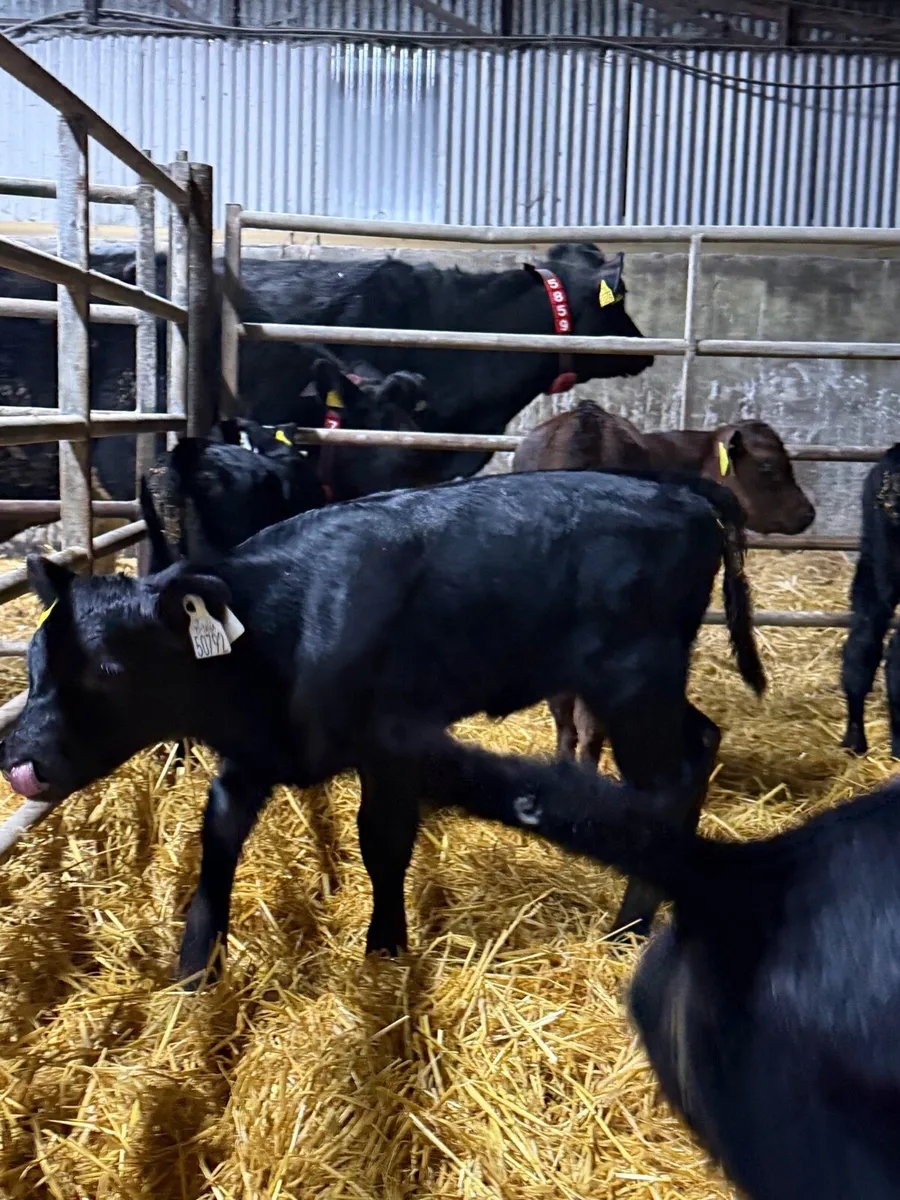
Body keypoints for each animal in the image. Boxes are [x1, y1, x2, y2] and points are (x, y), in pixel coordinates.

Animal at [0, 469, 763, 984]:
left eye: (109, 669)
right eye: (33, 661)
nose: (19, 761)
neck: (280, 630)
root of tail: (684, 496)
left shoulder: (389, 744)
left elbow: (383, 844)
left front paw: (386, 952)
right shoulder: (251, 753)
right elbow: (216, 842)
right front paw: (193, 973)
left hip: (634, 682)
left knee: (670, 779)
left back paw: (628, 927)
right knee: (701, 742)